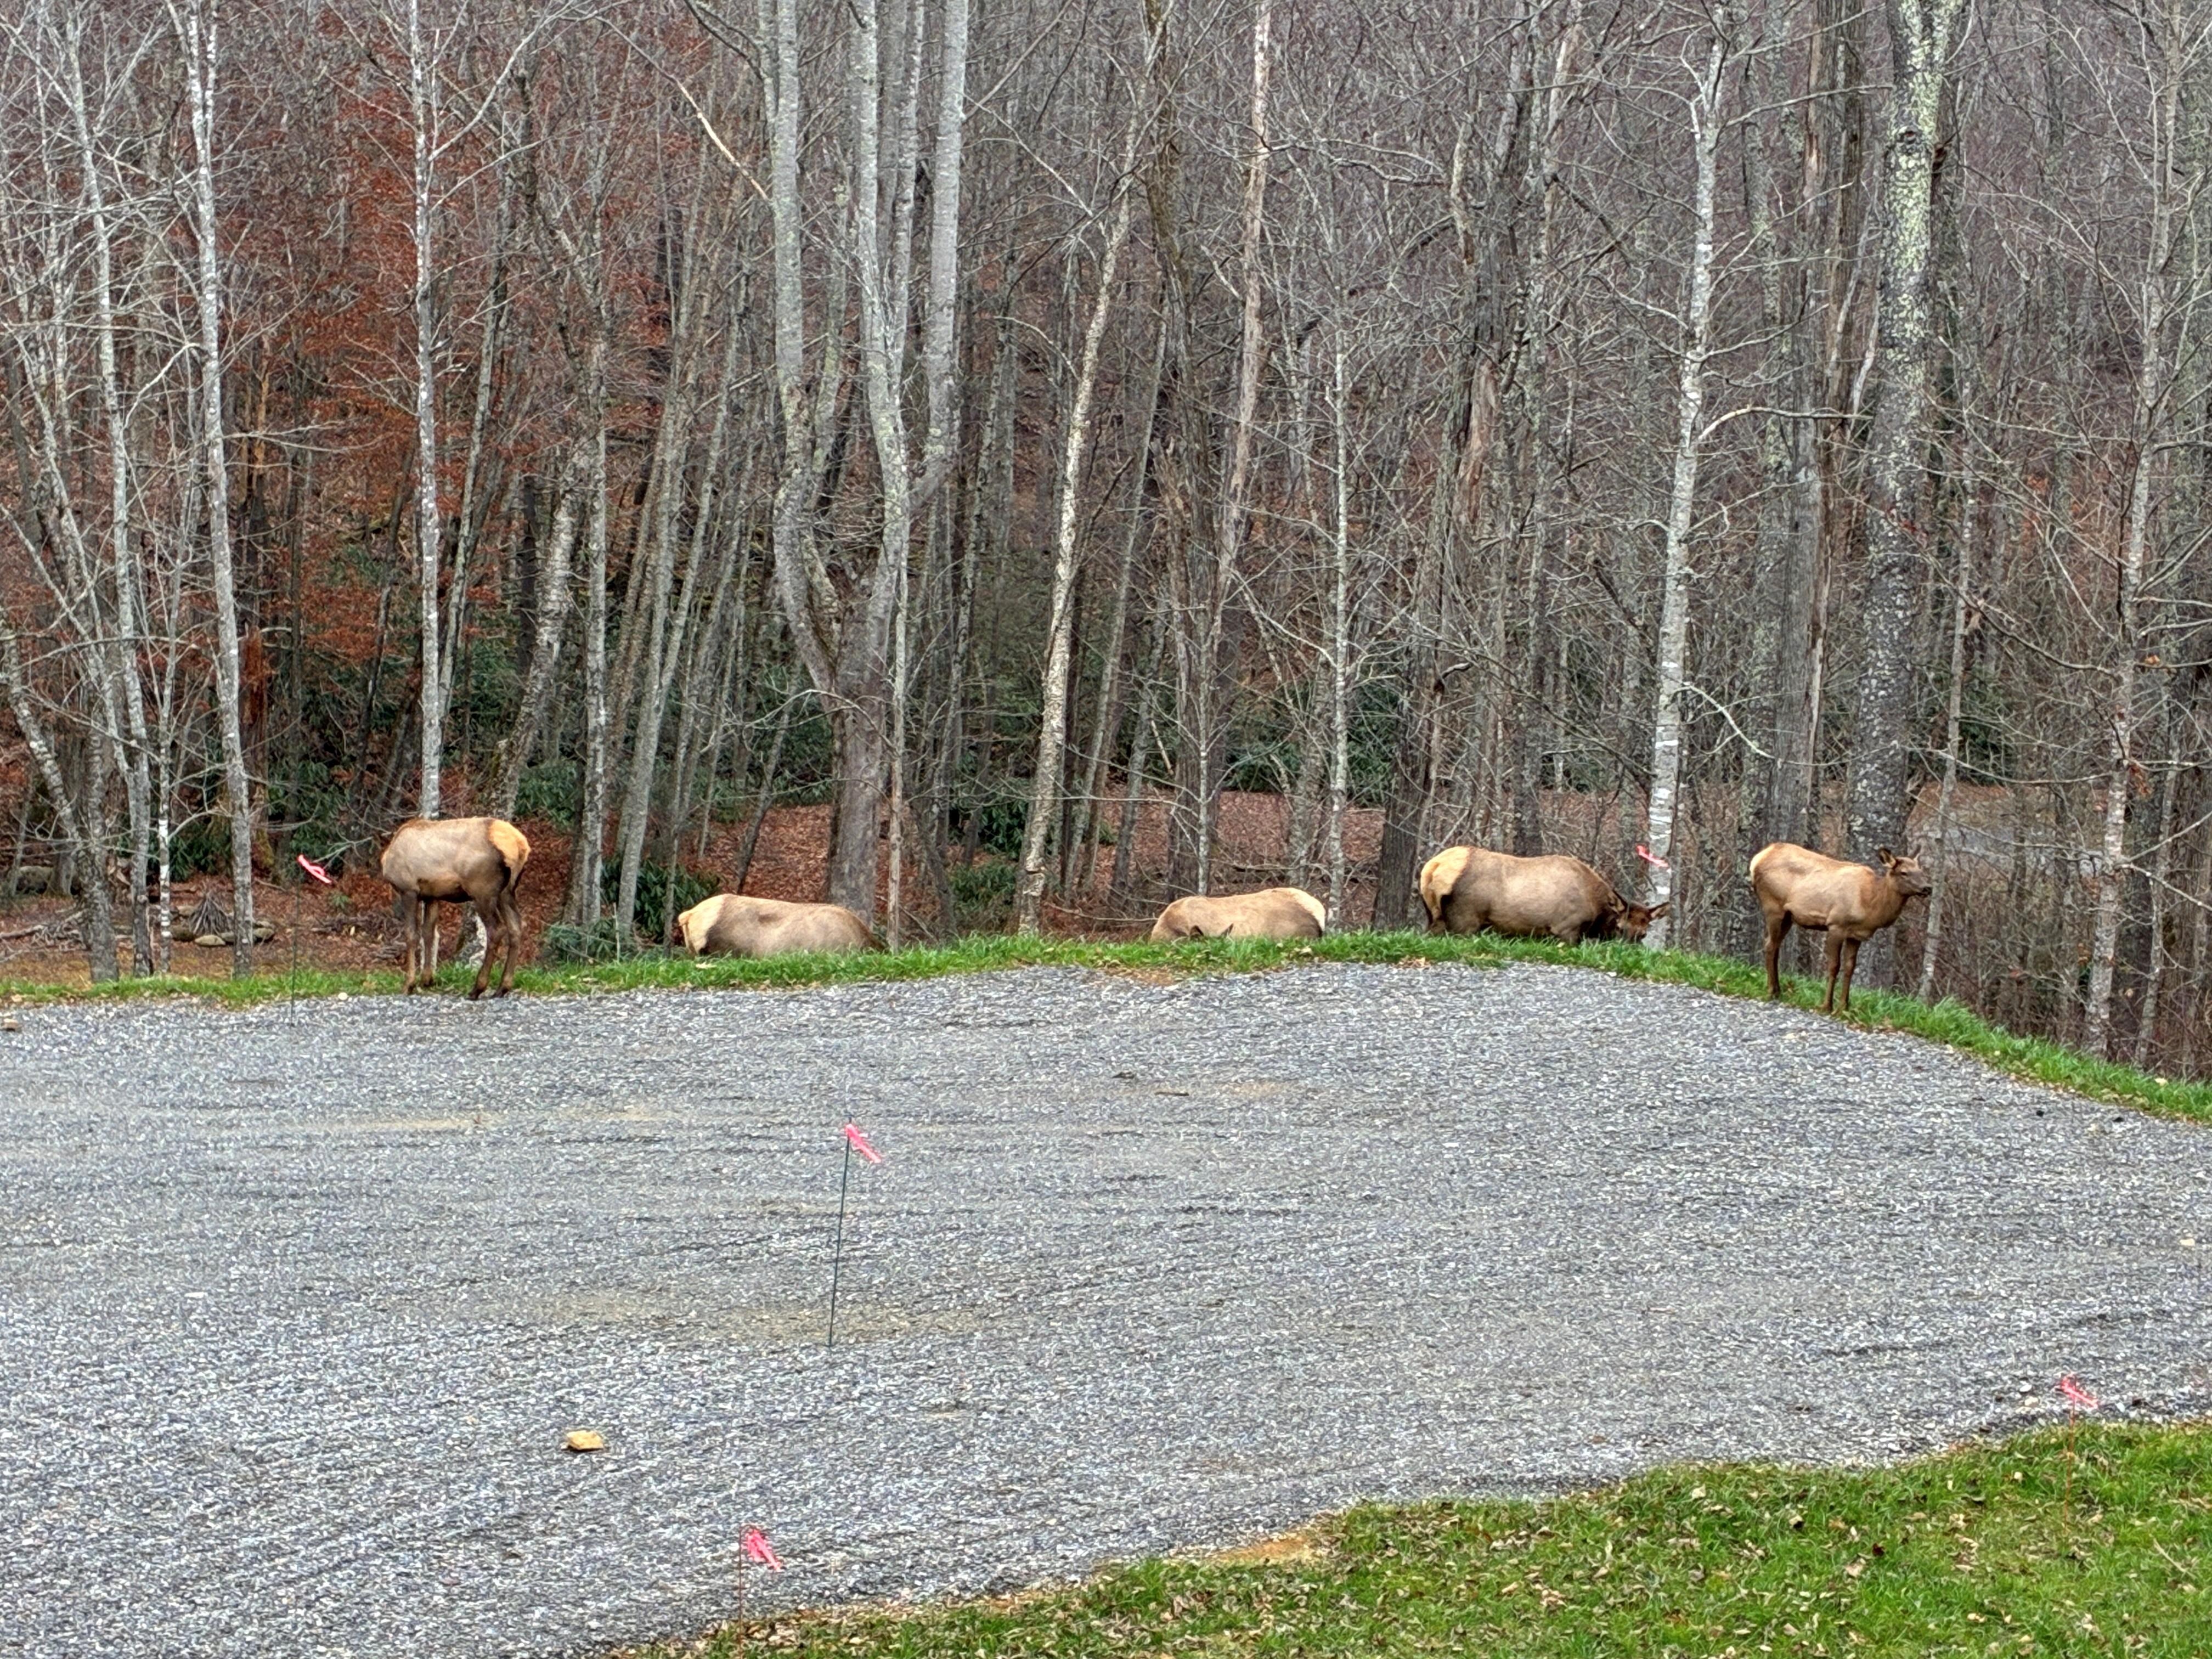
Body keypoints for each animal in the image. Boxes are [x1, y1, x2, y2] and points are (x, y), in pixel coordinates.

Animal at [379, 816, 532, 998]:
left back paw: (478, 988)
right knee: (516, 927)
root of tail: (518, 845)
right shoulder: (432, 896)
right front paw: (427, 980)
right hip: (506, 892)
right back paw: (503, 987)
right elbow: (429, 933)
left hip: (482, 890)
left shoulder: (409, 890)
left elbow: (412, 935)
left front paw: (409, 985)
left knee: (497, 930)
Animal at [1748, 842, 1932, 1014]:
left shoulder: (1855, 935)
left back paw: (1778, 989)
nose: (1928, 888)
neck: (1870, 903)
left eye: (1921, 871)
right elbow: (1834, 966)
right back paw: (1772, 991)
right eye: (1904, 873)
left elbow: (1850, 968)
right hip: (1773, 906)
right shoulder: (1836, 925)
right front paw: (1827, 1005)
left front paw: (1844, 1006)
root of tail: (1758, 859)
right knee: (1770, 945)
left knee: (1775, 945)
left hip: (1788, 916)